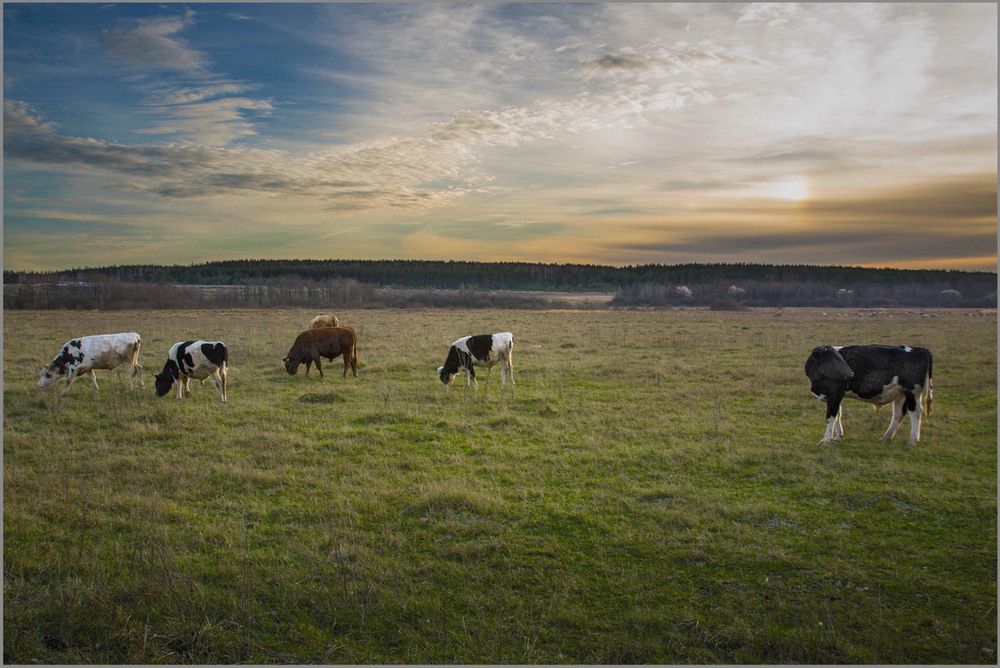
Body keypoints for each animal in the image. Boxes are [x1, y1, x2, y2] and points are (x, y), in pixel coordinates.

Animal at [800, 348, 932, 446]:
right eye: (833, 359)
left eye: (840, 358)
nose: (851, 373)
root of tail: (920, 349)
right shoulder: (837, 396)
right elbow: (838, 414)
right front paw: (837, 436)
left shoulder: (834, 395)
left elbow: (831, 417)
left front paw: (826, 440)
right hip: (901, 394)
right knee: (898, 414)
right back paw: (886, 437)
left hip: (912, 392)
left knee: (915, 412)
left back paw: (912, 440)